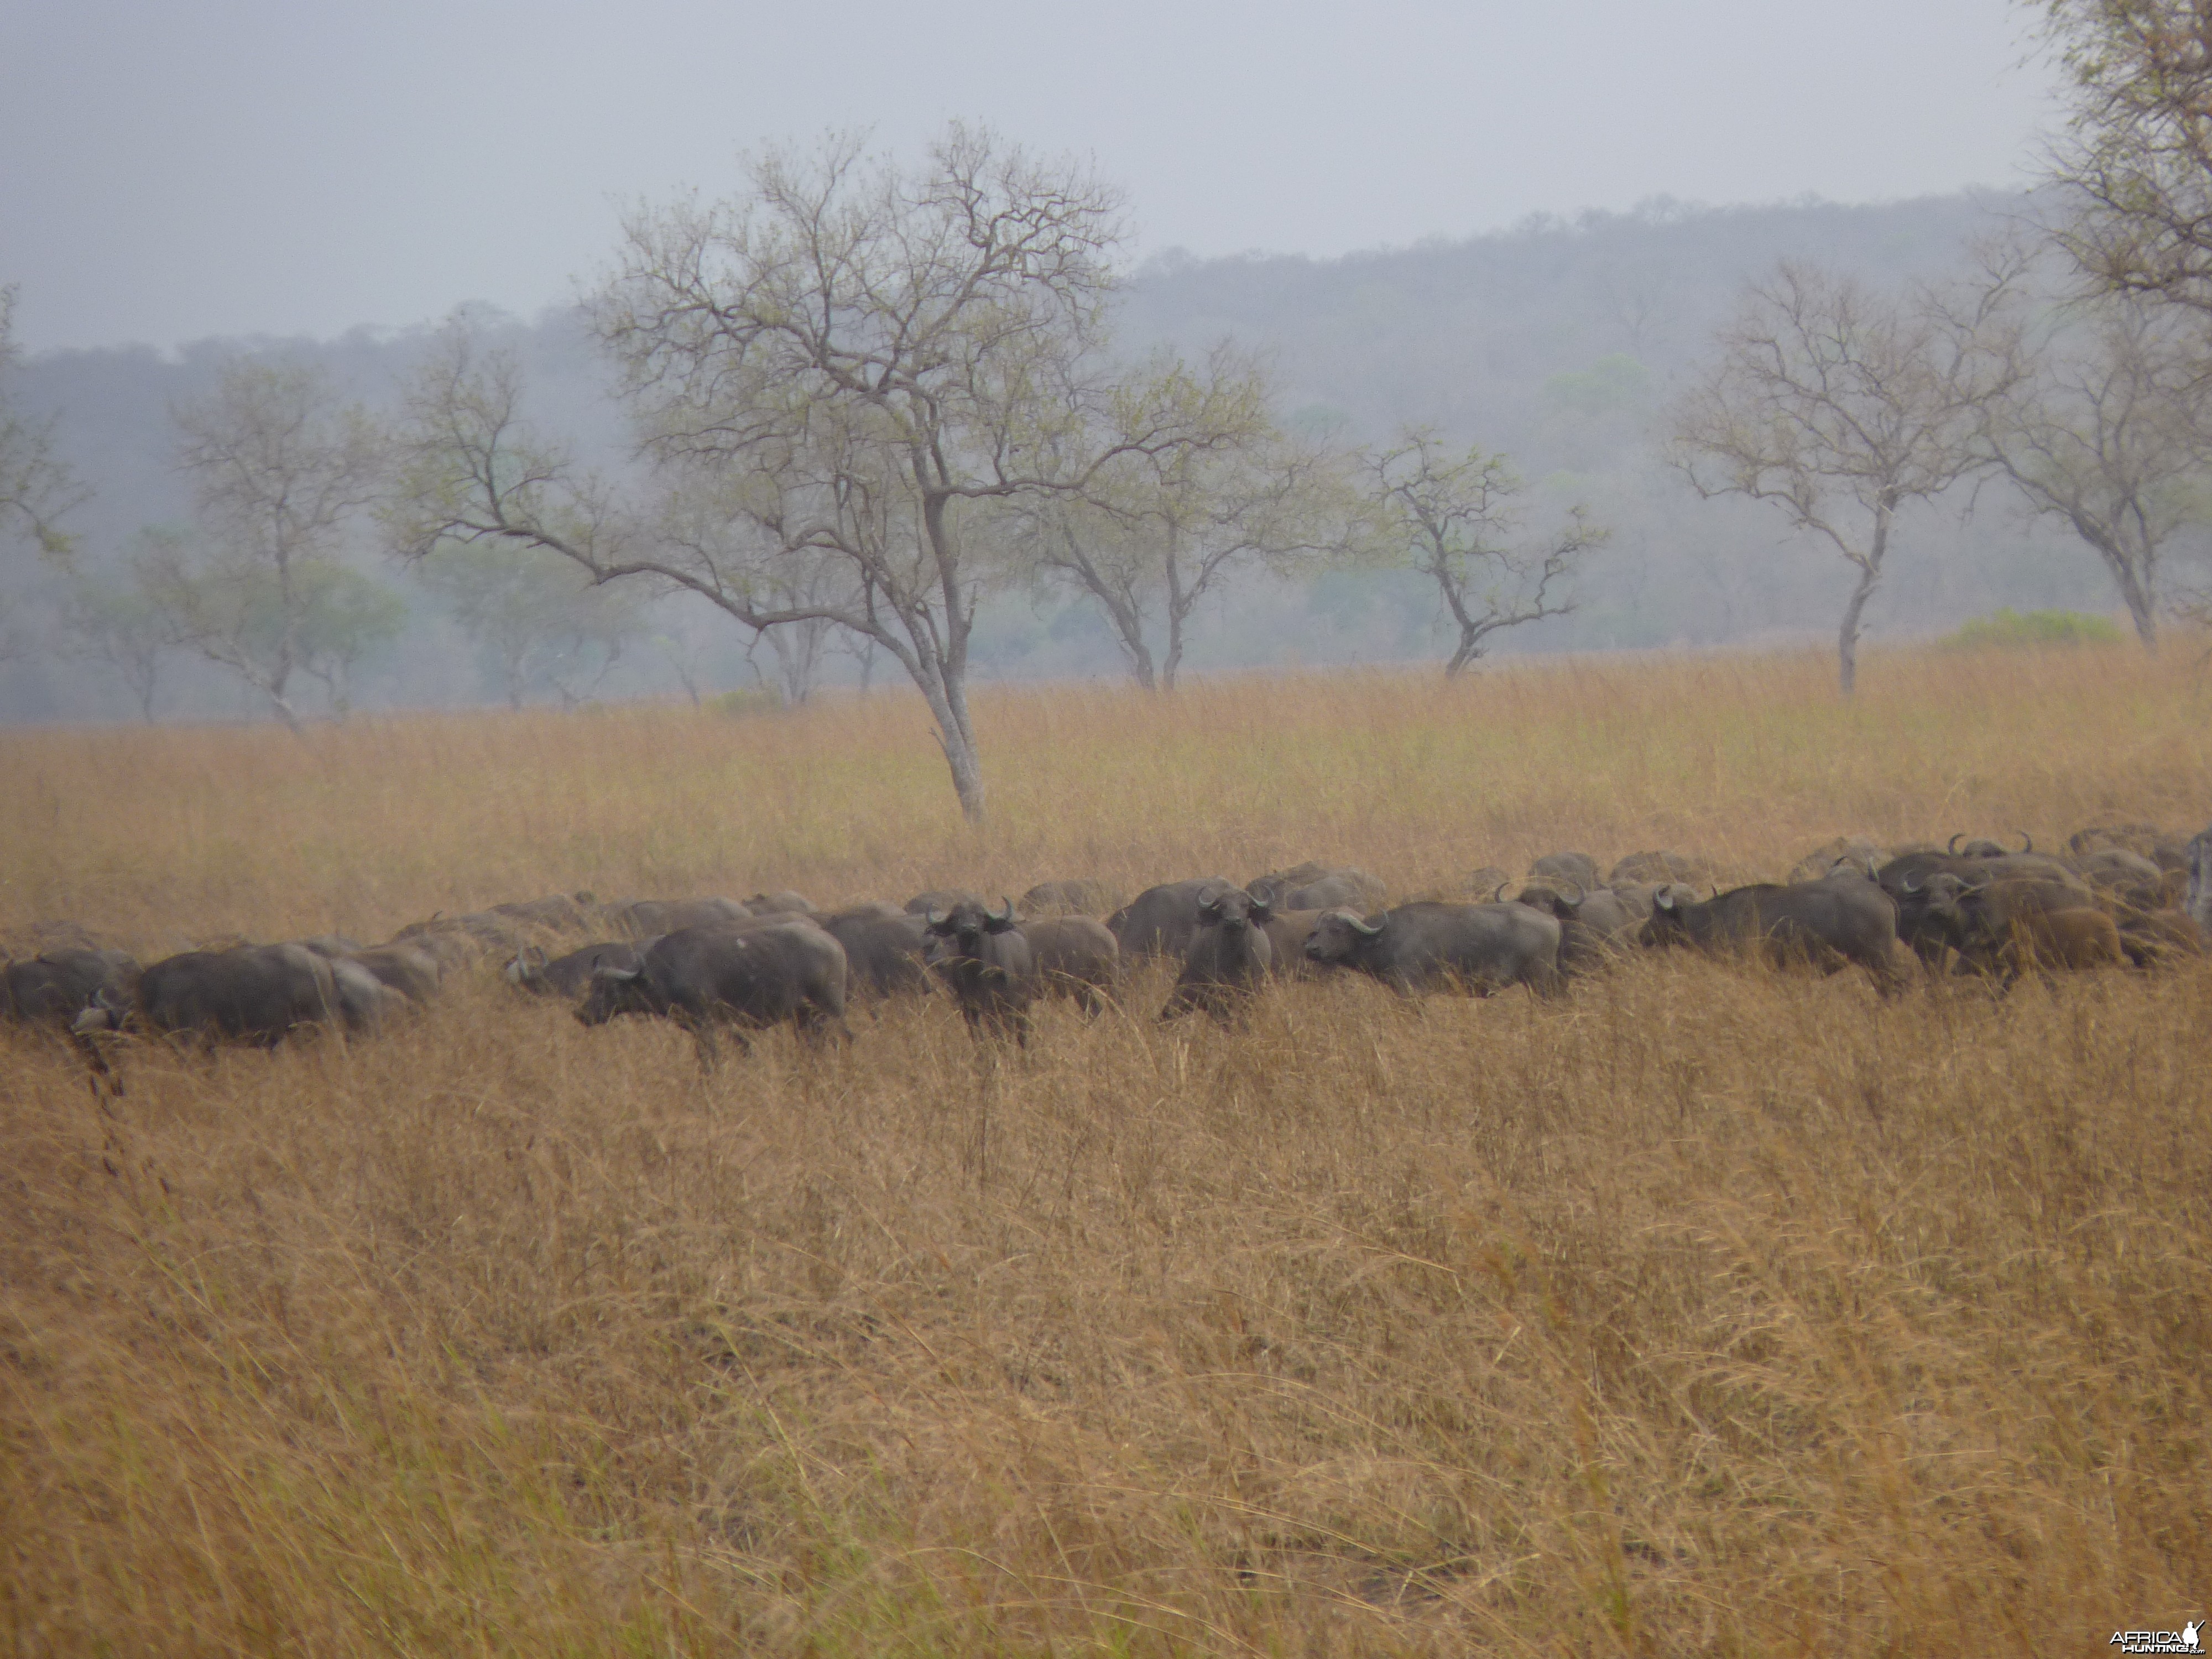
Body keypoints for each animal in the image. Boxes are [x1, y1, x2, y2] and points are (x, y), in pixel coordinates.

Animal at [575, 925, 849, 1066]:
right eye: (592, 986)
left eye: (608, 989)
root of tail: (835, 946)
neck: (666, 971)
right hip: (805, 1019)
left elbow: (710, 1060)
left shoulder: (705, 1025)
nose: (581, 1014)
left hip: (831, 1010)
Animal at [1301, 911, 1566, 1000]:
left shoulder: (1410, 991)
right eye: (1318, 930)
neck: (1387, 936)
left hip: (1540, 981)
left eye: (1336, 930)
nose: (1312, 950)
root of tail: (1553, 921)